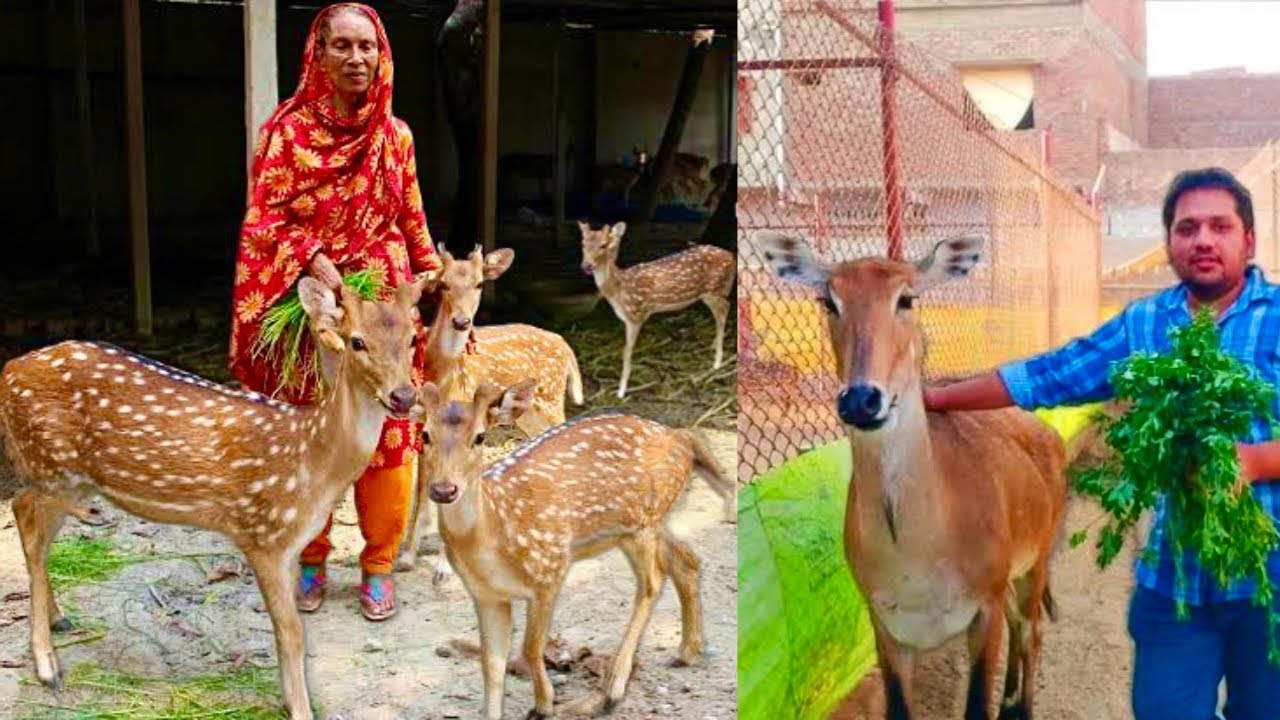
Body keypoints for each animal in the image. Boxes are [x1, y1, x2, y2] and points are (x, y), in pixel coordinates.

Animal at [0, 274, 429, 720]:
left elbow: (288, 629)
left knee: (31, 526)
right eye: (357, 341)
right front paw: (300, 708)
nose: (403, 396)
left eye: (413, 337)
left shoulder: (290, 544)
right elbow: (292, 633)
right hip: (53, 468)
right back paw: (48, 666)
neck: (310, 461)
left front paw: (286, 698)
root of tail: (8, 369)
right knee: (26, 520)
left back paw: (59, 620)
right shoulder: (263, 535)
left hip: (71, 479)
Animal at [396, 245, 585, 576]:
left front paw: (444, 567)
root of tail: (564, 344)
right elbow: (422, 492)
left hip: (551, 399)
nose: (461, 321)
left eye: (479, 283)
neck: (444, 374)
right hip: (530, 413)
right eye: (443, 285)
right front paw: (407, 557)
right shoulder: (424, 427)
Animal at [416, 379, 736, 720]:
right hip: (644, 525)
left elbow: (530, 647)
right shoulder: (486, 595)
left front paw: (544, 705)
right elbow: (491, 665)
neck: (494, 533)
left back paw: (613, 690)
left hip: (642, 521)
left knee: (652, 582)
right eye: (425, 434)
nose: (444, 489)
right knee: (686, 559)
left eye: (479, 436)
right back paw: (687, 652)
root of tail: (683, 437)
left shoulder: (550, 570)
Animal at [578, 220, 736, 398]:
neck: (620, 291)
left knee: (724, 310)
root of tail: (731, 256)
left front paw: (621, 391)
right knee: (722, 310)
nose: (586, 265)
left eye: (603, 245)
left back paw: (717, 363)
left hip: (713, 290)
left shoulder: (636, 315)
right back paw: (713, 347)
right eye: (583, 244)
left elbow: (626, 351)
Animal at [757, 230, 1068, 720]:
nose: (862, 400)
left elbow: (976, 704)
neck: (919, 557)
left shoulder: (984, 607)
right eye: (829, 300)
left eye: (906, 298)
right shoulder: (886, 625)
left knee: (1030, 630)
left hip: (1034, 562)